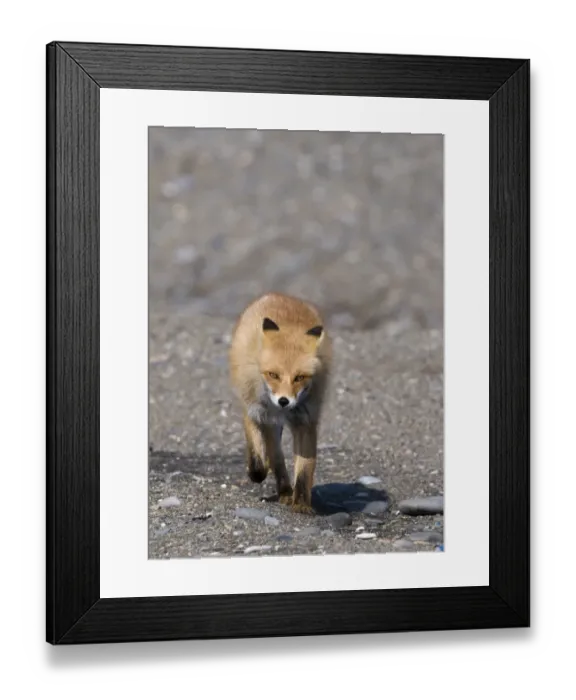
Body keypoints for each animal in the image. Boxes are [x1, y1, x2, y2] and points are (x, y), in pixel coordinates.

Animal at [228, 292, 332, 514]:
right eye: (273, 375)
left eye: (299, 377)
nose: (284, 401)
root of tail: (278, 295)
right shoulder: (258, 413)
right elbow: (261, 457)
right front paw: (258, 472)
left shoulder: (306, 421)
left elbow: (304, 469)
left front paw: (301, 503)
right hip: (257, 411)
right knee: (269, 451)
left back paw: (285, 491)